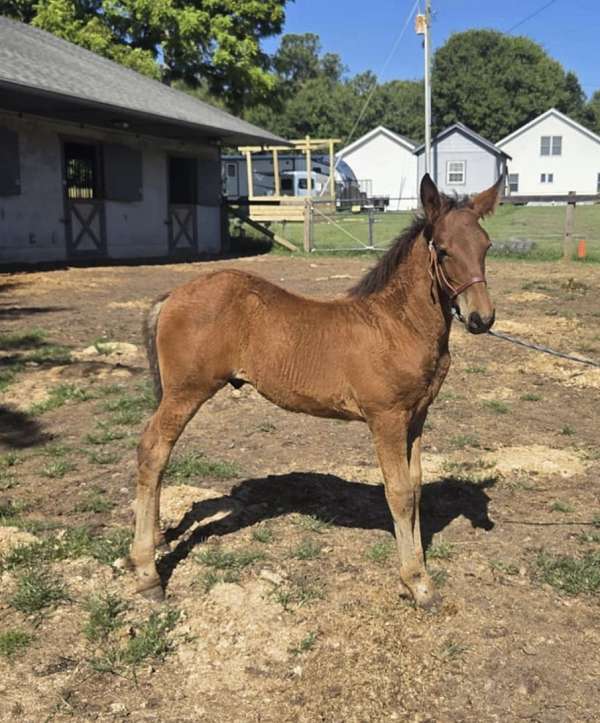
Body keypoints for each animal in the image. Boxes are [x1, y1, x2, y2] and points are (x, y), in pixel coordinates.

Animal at [128, 173, 500, 607]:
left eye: (486, 246)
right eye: (442, 250)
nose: (481, 318)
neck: (397, 324)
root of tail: (172, 296)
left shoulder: (417, 417)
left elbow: (416, 487)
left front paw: (418, 568)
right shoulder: (386, 418)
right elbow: (399, 493)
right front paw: (417, 581)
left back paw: (155, 539)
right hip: (185, 392)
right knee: (153, 450)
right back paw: (147, 572)